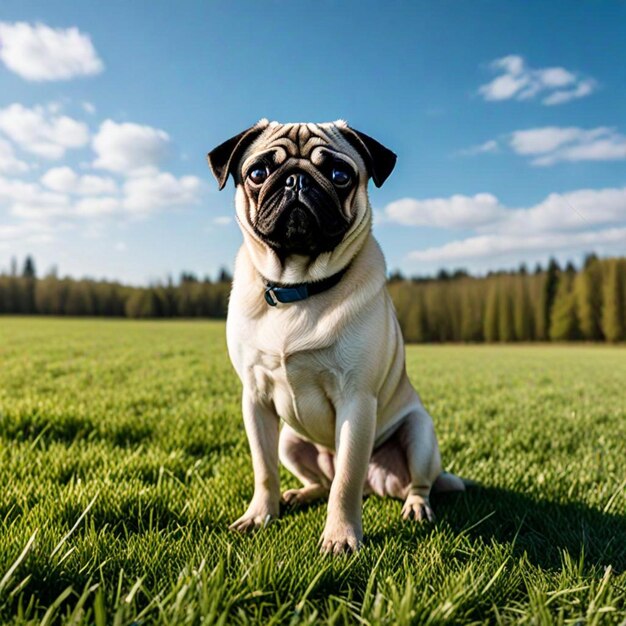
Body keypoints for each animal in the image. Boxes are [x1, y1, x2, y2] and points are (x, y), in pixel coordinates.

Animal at [207, 119, 460, 552]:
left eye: (340, 175)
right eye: (258, 172)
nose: (295, 179)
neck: (298, 287)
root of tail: (378, 486)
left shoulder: (356, 401)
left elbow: (346, 478)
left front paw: (341, 536)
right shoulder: (255, 399)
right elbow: (264, 469)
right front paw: (261, 514)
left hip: (420, 432)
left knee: (411, 482)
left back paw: (415, 507)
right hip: (291, 441)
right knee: (321, 480)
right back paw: (298, 494)